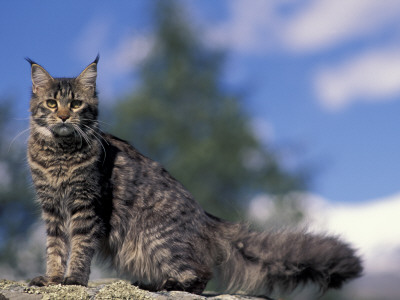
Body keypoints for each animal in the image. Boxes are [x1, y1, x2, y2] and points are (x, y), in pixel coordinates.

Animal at [25, 56, 362, 296]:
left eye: (76, 104)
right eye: (52, 103)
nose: (63, 117)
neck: (59, 156)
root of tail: (205, 217)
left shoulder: (87, 205)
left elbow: (80, 248)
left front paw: (72, 281)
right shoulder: (51, 207)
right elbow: (55, 247)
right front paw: (53, 279)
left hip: (156, 241)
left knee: (201, 275)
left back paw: (165, 286)